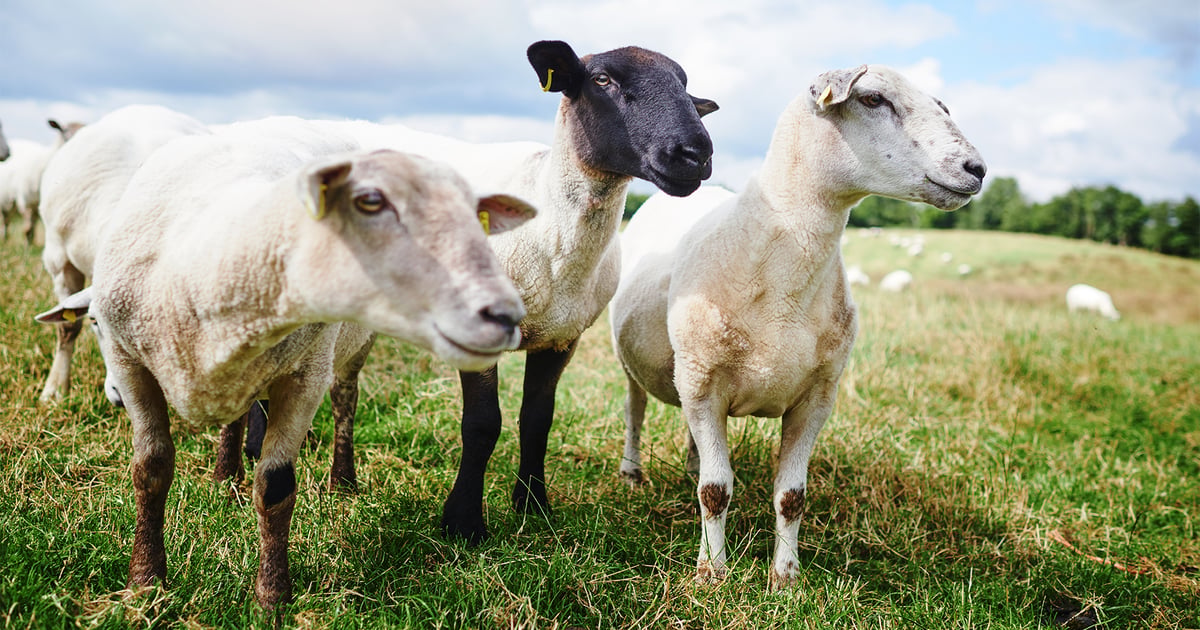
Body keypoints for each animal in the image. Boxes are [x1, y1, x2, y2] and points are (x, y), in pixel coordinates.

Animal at [34, 130, 537, 608]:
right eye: (369, 201)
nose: (504, 313)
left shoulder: (305, 376)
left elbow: (276, 487)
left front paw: (272, 598)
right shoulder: (130, 364)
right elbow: (151, 470)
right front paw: (145, 584)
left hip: (352, 345)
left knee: (345, 401)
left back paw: (342, 481)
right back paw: (225, 476)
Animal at [213, 39, 717, 544]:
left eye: (685, 86)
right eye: (603, 80)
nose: (695, 154)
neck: (550, 236)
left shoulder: (562, 338)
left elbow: (538, 420)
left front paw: (533, 506)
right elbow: (482, 423)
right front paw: (463, 522)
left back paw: (306, 470)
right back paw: (229, 477)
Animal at [609, 64, 985, 589]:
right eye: (872, 99)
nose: (977, 169)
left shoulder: (816, 397)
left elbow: (791, 496)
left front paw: (785, 579)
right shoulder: (705, 384)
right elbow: (715, 490)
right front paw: (712, 573)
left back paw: (688, 464)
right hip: (642, 364)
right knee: (635, 411)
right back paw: (632, 472)